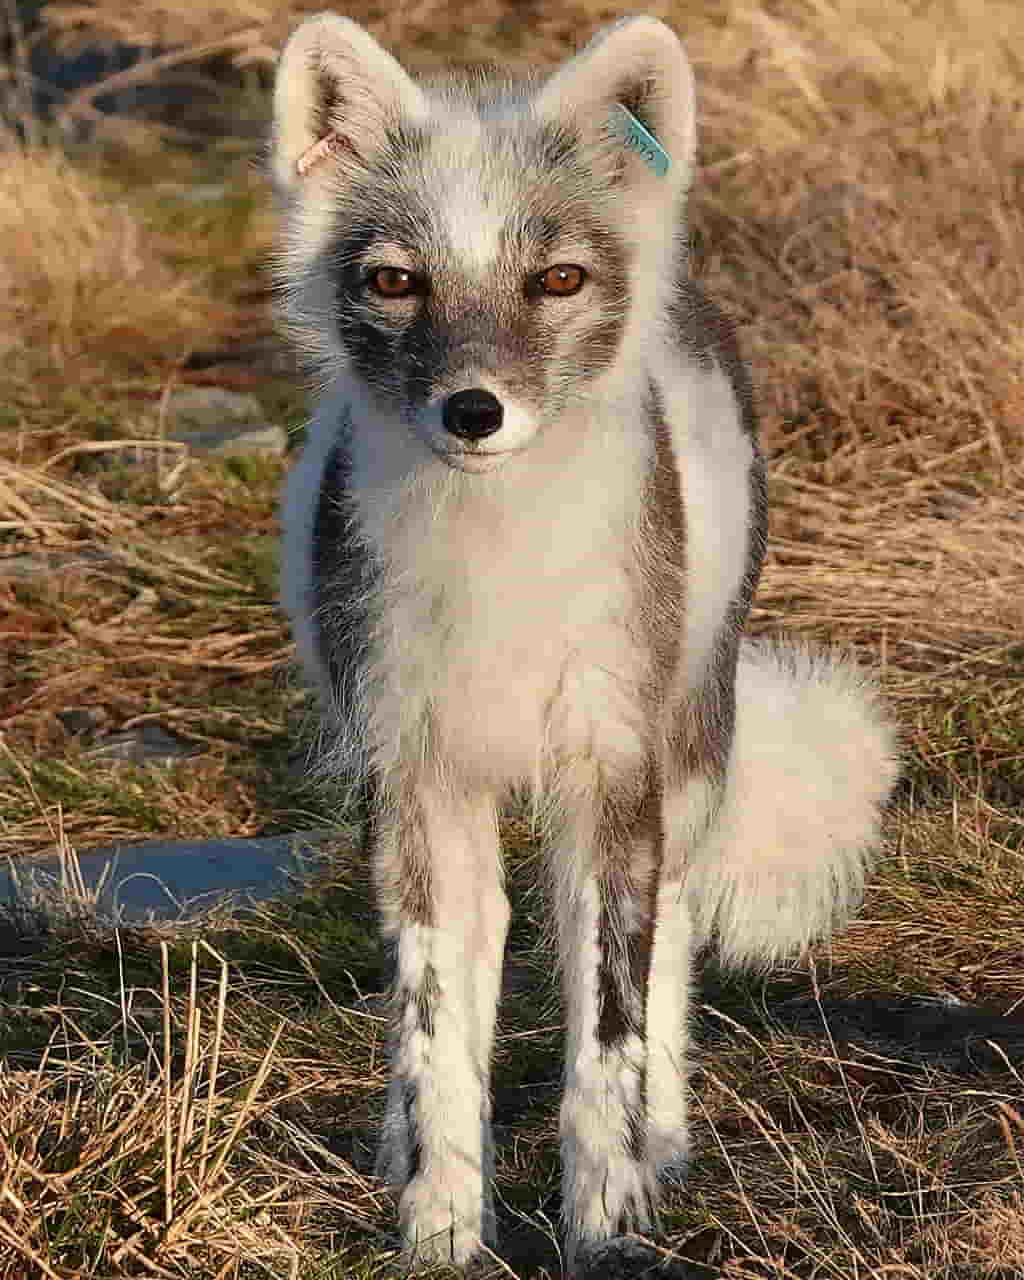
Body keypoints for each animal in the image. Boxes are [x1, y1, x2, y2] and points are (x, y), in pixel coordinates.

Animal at [270, 15, 896, 1274]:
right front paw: (440, 1224)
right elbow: (432, 1024)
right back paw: (400, 1145)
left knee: (663, 940)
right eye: (395, 281)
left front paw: (608, 1222)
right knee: (475, 951)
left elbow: (605, 1028)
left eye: (555, 278)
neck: (492, 549)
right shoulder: (416, 774)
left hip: (685, 743)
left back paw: (663, 1137)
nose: (473, 411)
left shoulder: (611, 773)